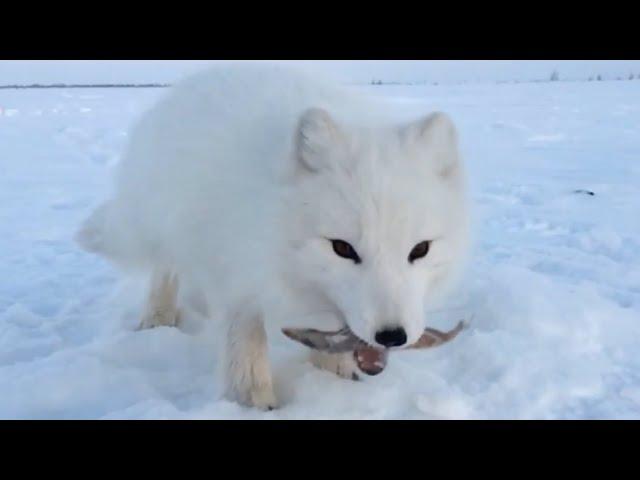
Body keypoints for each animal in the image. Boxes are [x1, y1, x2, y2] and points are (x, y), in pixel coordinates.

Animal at [79, 63, 470, 408]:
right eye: (342, 248)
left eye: (420, 249)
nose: (392, 336)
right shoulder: (235, 266)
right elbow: (245, 337)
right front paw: (253, 400)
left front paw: (333, 377)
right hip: (164, 222)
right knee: (164, 267)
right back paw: (158, 316)